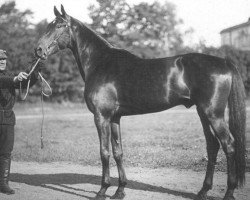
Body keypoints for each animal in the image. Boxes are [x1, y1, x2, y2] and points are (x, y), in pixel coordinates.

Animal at [35, 5, 246, 200]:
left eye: (60, 25)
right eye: (48, 25)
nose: (38, 50)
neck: (100, 63)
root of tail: (224, 62)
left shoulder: (101, 117)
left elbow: (104, 152)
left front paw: (102, 191)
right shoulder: (114, 118)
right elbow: (118, 152)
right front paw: (120, 190)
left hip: (214, 114)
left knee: (229, 145)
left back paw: (229, 193)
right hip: (203, 113)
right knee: (213, 146)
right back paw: (203, 191)